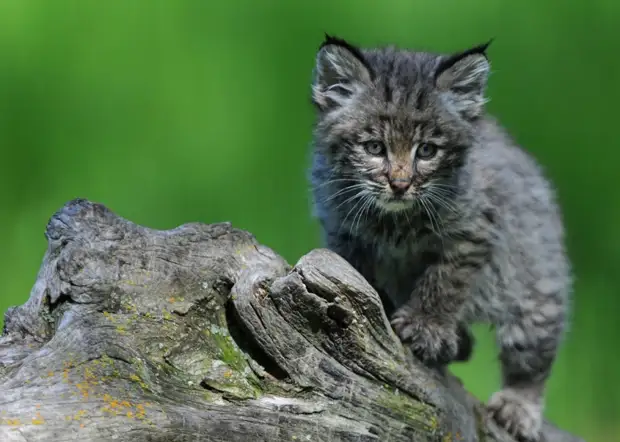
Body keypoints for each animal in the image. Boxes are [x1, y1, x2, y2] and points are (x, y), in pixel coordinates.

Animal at [310, 35, 572, 442]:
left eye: (428, 151)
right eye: (374, 148)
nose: (400, 184)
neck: (395, 218)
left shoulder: (474, 229)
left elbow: (445, 280)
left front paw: (426, 327)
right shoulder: (343, 231)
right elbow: (360, 274)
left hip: (535, 281)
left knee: (532, 351)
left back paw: (519, 405)